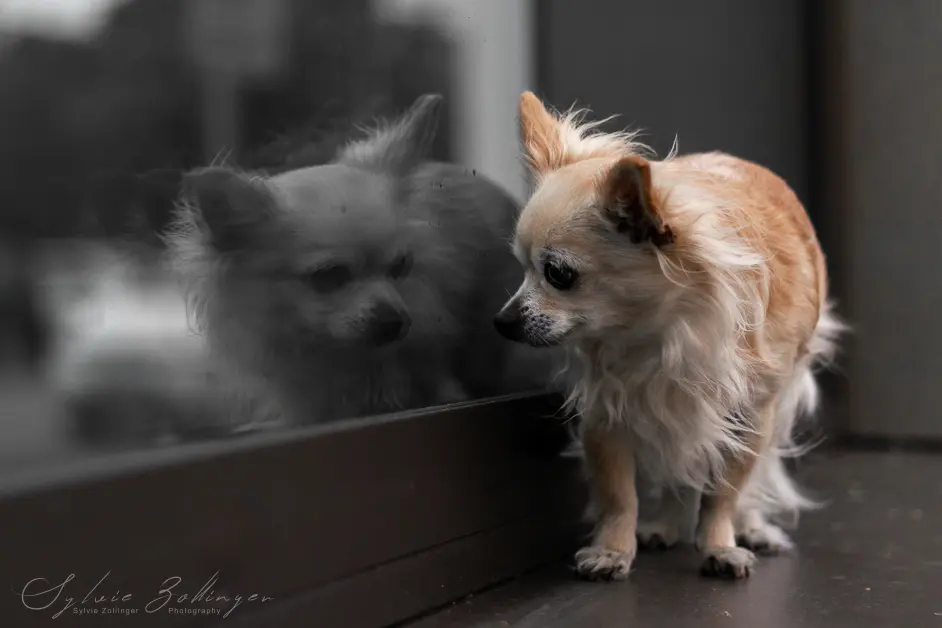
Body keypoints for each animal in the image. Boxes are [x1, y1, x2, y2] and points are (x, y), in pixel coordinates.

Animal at [498, 92, 844, 580]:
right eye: (521, 268)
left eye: (558, 275)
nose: (501, 321)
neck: (655, 331)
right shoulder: (607, 409)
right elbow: (619, 494)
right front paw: (613, 550)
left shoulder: (750, 416)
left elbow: (726, 491)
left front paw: (719, 544)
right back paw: (667, 523)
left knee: (753, 473)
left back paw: (751, 526)